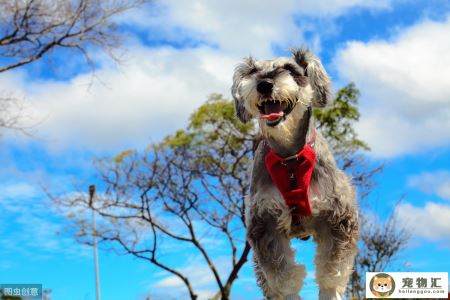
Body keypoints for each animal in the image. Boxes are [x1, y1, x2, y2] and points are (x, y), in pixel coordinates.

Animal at [232, 48, 358, 298]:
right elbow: (283, 277)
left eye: (290, 69)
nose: (264, 84)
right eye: (252, 72)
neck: (289, 158)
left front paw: (330, 292)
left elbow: (332, 271)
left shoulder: (337, 217)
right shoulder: (266, 224)